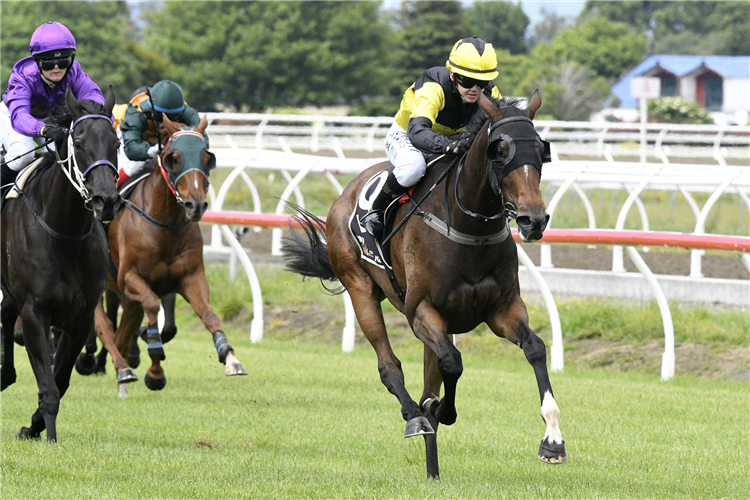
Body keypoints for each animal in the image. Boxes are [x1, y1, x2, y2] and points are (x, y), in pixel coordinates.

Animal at [0, 88, 120, 440]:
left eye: (116, 143)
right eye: (78, 142)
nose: (106, 201)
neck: (64, 233)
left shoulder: (80, 318)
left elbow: (61, 380)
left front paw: (34, 425)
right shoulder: (34, 312)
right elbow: (49, 386)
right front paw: (47, 434)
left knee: (5, 313)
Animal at [81, 112, 248, 394]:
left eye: (207, 157)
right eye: (175, 158)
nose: (195, 204)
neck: (164, 223)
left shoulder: (191, 277)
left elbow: (208, 313)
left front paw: (230, 357)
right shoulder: (131, 279)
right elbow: (151, 305)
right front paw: (155, 370)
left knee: (122, 330)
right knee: (104, 326)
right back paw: (117, 366)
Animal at [284, 92, 568, 478]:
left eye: (541, 149)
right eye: (499, 150)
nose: (533, 220)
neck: (468, 227)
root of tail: (346, 194)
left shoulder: (502, 309)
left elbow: (535, 348)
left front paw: (552, 439)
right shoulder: (420, 311)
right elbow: (452, 363)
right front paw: (437, 410)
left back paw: (433, 468)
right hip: (360, 288)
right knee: (389, 365)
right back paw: (415, 417)